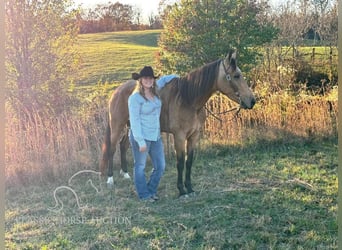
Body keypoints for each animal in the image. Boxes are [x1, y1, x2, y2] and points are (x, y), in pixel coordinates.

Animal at [100, 50, 255, 197]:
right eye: (236, 75)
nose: (252, 100)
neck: (189, 100)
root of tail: (116, 91)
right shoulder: (179, 136)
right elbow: (180, 163)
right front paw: (181, 190)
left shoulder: (194, 136)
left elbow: (189, 161)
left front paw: (190, 188)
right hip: (117, 126)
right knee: (112, 149)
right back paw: (110, 179)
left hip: (130, 127)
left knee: (123, 146)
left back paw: (126, 174)